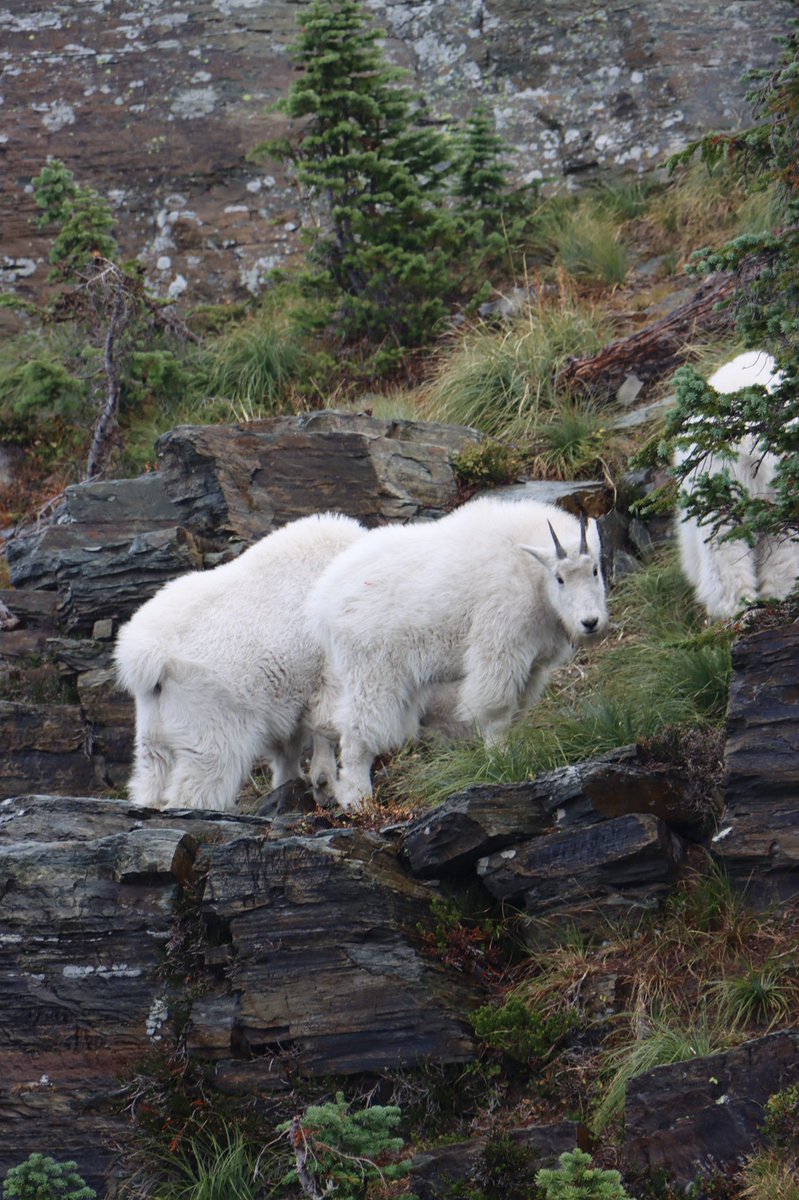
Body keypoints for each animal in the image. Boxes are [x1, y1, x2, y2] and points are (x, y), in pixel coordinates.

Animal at [114, 512, 366, 810]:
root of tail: (148, 656)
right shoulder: (328, 669)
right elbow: (324, 724)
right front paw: (324, 783)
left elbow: (287, 745)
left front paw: (293, 782)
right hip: (209, 722)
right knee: (199, 782)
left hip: (153, 727)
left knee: (152, 775)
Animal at [305, 496, 608, 810]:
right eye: (559, 578)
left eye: (595, 570)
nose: (590, 622)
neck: (530, 573)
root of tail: (320, 603)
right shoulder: (498, 642)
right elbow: (497, 710)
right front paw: (500, 762)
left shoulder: (532, 664)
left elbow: (517, 710)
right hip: (371, 668)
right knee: (357, 731)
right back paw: (358, 799)